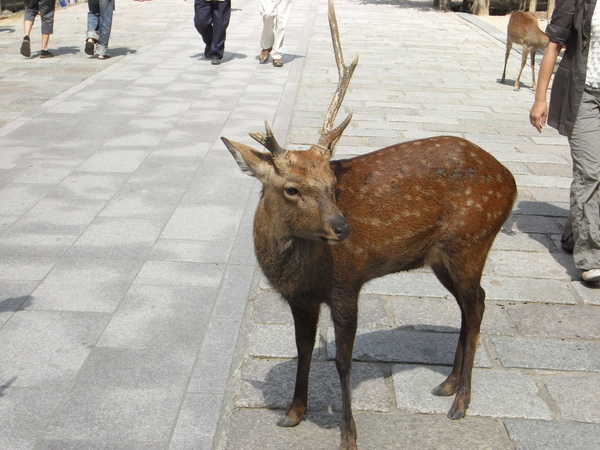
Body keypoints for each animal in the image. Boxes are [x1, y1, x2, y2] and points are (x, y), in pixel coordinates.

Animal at [220, 1, 516, 448]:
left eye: (332, 183)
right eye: (292, 189)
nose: (343, 229)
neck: (298, 272)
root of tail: (511, 180)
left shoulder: (347, 282)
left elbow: (344, 361)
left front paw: (348, 434)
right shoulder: (299, 298)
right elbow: (302, 349)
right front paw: (293, 413)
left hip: (472, 241)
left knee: (478, 303)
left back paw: (461, 402)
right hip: (442, 257)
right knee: (470, 305)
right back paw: (446, 384)